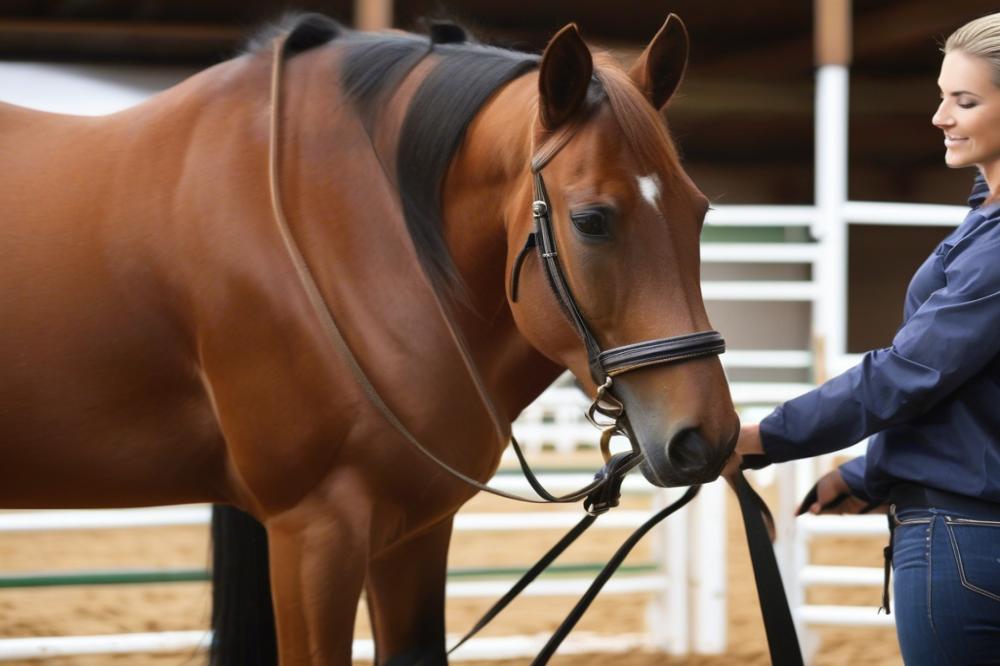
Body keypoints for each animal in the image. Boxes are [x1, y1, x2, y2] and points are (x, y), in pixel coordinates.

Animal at [1, 11, 744, 664]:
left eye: (699, 211)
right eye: (591, 221)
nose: (705, 438)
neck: (358, 232)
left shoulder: (415, 529)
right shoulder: (313, 530)